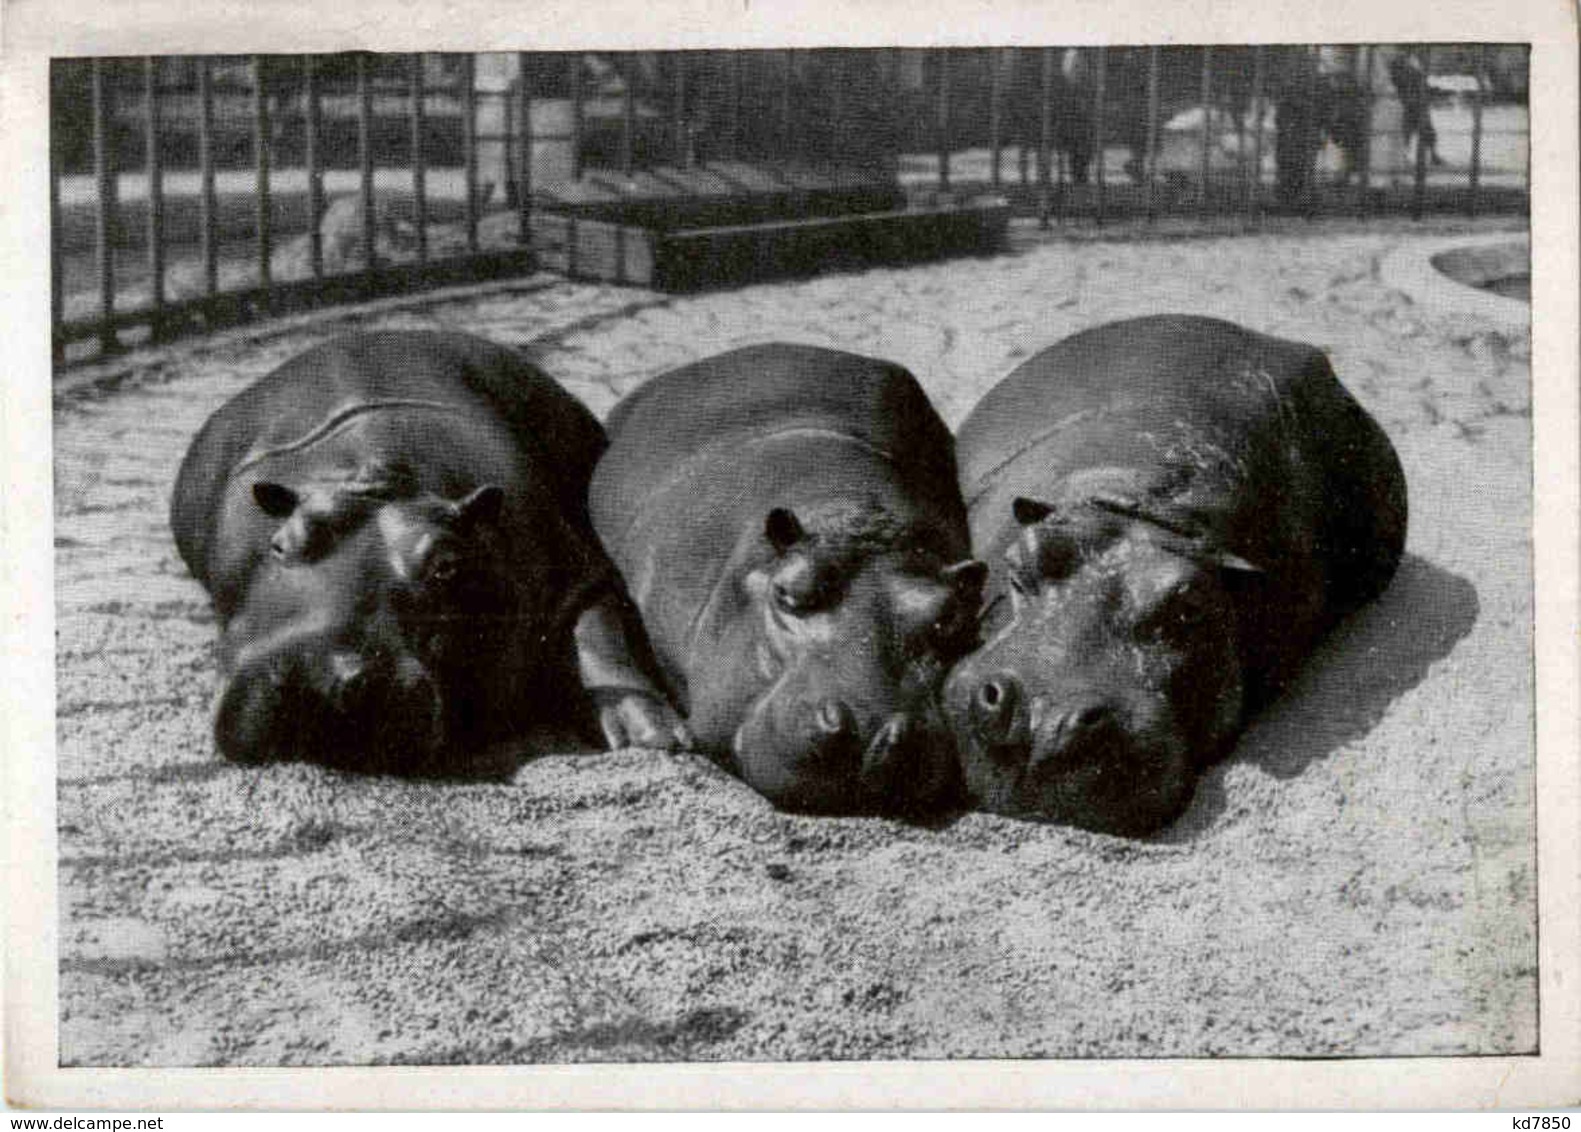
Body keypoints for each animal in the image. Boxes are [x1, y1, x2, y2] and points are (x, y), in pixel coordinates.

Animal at [169, 327, 689, 768]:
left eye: (448, 565)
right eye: (281, 544)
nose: (321, 672)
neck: (376, 473)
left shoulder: (572, 562)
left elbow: (600, 633)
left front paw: (651, 733)